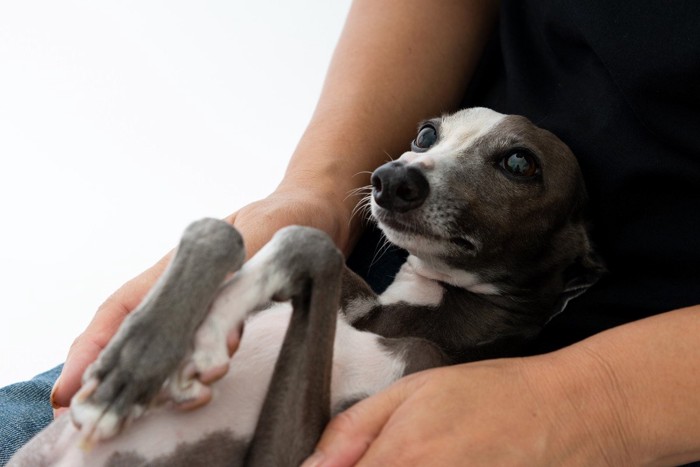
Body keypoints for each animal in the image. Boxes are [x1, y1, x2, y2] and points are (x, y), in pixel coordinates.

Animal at [9, 108, 600, 466]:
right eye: (427, 134)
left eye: (520, 162)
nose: (391, 179)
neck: (403, 317)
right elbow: (232, 230)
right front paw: (132, 366)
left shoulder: (289, 452)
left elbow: (312, 242)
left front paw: (206, 334)